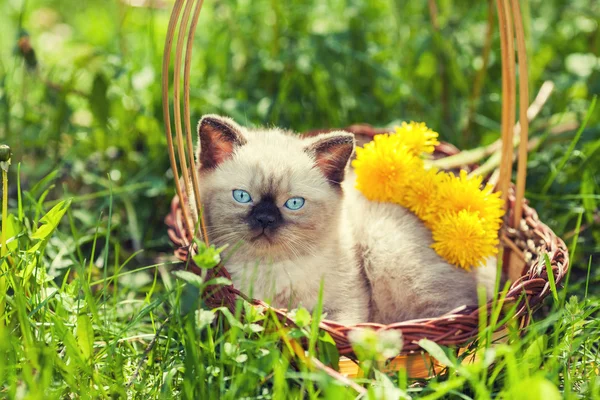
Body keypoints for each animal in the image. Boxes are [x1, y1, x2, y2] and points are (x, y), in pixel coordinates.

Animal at [193, 114, 496, 324]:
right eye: (242, 196)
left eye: (294, 203)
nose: (265, 219)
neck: (270, 268)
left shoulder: (344, 308)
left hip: (386, 252)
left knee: (447, 311)